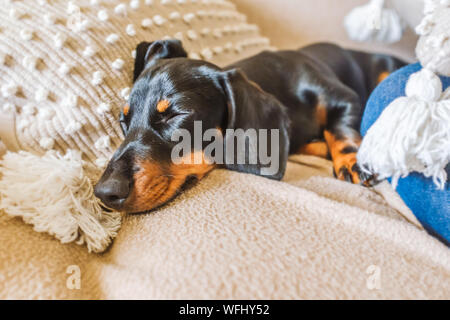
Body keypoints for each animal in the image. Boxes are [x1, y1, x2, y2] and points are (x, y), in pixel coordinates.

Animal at [93, 40, 406, 215]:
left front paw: (353, 160)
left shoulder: (346, 98)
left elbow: (341, 130)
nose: (105, 193)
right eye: (123, 122)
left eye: (176, 115)